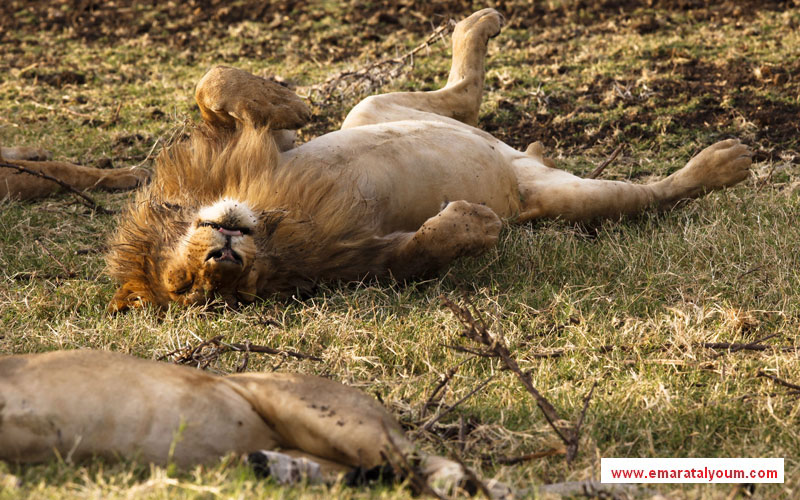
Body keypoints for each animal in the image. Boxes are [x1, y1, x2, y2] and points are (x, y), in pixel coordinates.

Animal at [97, 8, 752, 312]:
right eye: (189, 288)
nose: (223, 255)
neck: (266, 214)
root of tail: (520, 159)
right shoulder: (362, 259)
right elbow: (426, 249)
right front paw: (474, 224)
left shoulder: (256, 152)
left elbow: (215, 83)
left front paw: (292, 101)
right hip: (566, 196)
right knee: (648, 194)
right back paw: (724, 162)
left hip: (370, 110)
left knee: (460, 96)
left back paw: (476, 26)